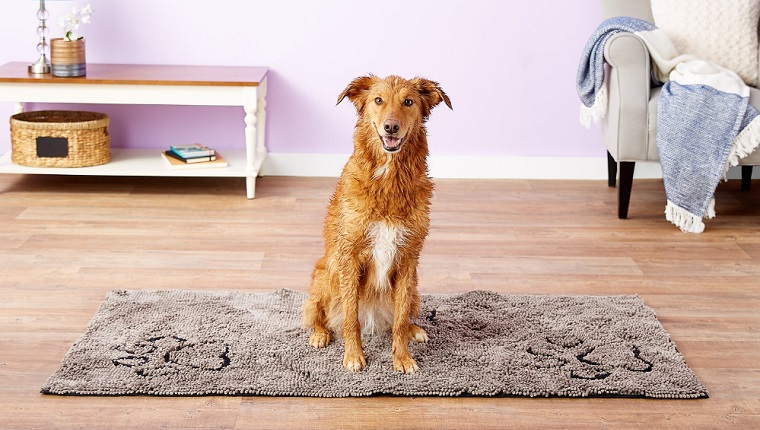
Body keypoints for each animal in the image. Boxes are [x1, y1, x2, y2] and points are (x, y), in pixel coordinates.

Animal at [302, 74, 452, 372]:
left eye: (408, 101)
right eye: (378, 100)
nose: (391, 126)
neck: (389, 178)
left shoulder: (408, 259)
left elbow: (400, 319)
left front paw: (402, 357)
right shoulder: (349, 257)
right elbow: (350, 318)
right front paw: (353, 355)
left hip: (415, 285)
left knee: (402, 317)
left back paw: (415, 330)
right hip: (326, 273)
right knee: (316, 313)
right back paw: (320, 334)